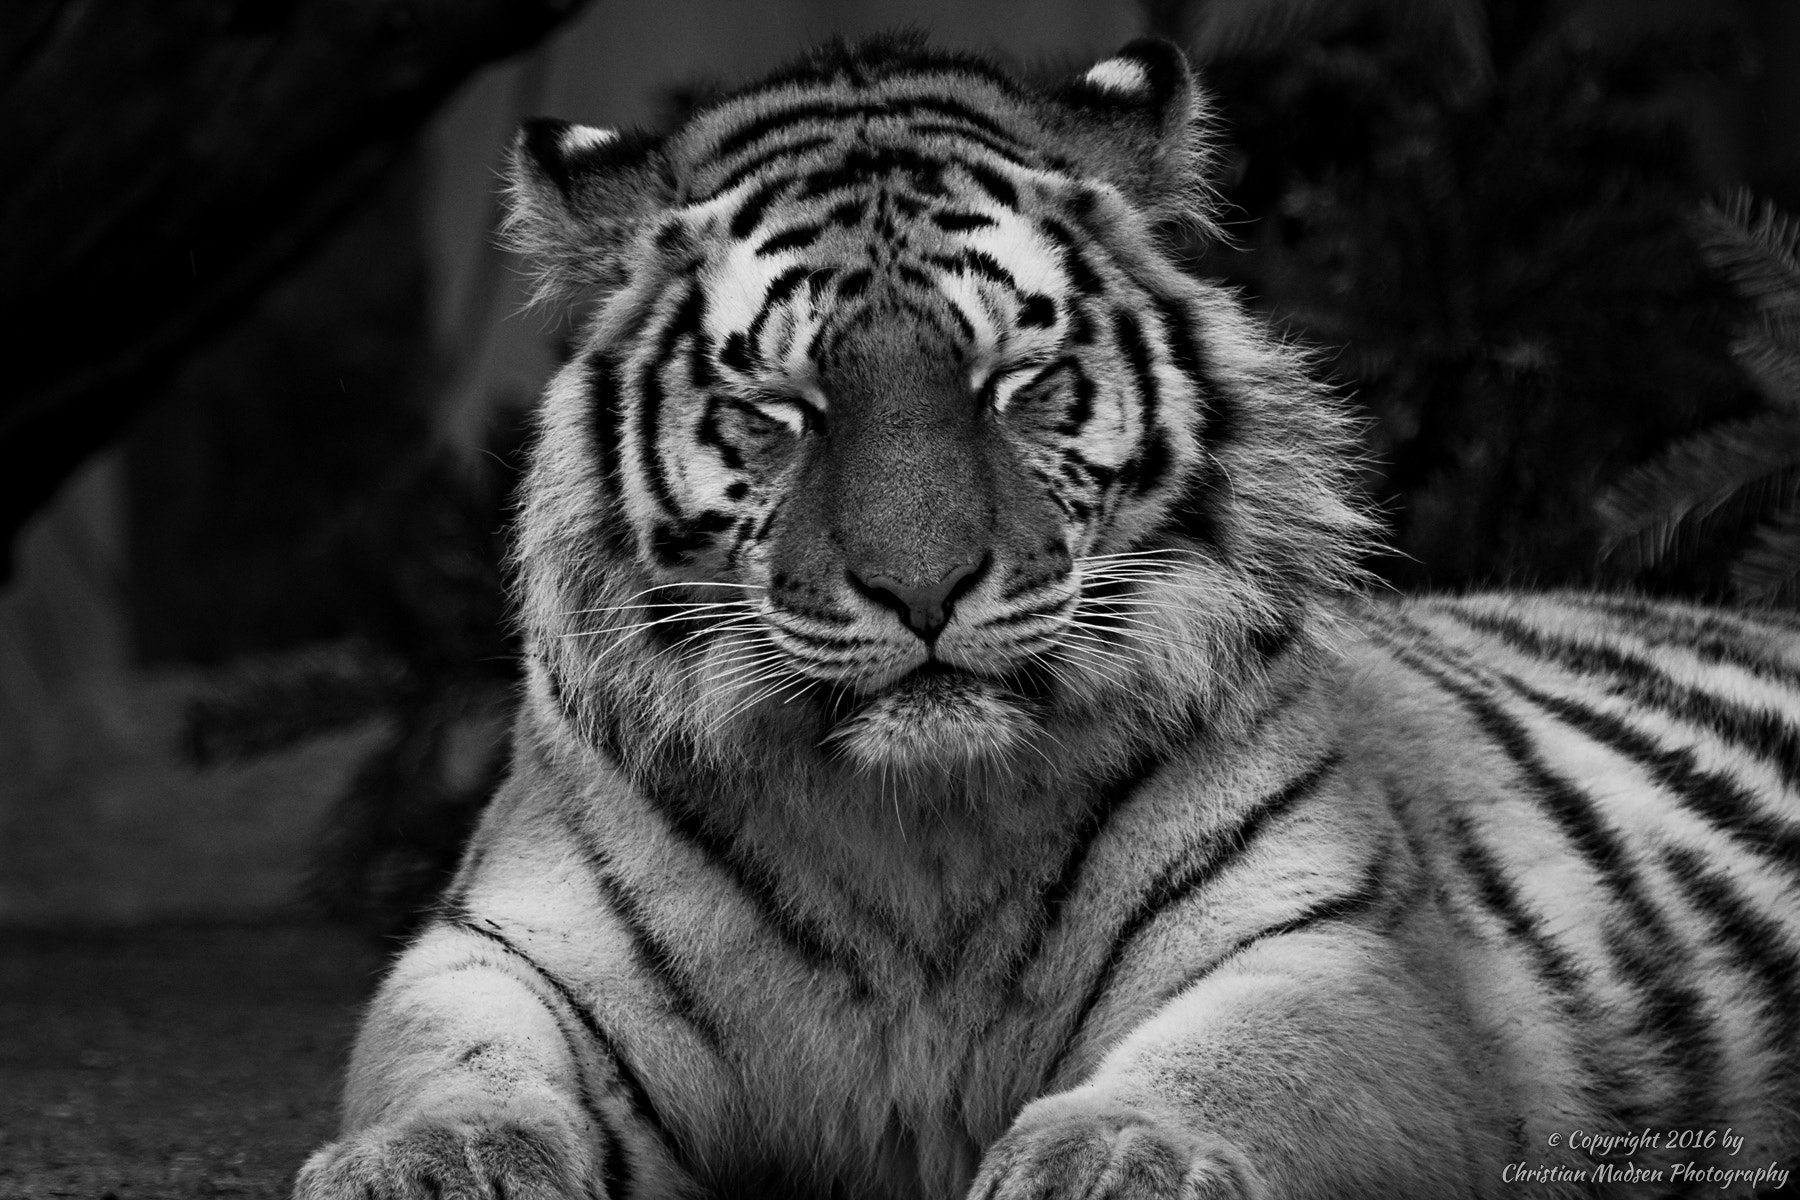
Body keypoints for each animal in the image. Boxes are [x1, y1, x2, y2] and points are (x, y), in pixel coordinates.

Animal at [295, 34, 1800, 1200]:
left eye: (1014, 382)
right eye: (782, 410)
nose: (924, 590)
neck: (918, 840)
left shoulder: (1339, 954)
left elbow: (1244, 1072)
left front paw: (1117, 1156)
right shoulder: (505, 950)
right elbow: (453, 1062)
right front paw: (425, 1161)